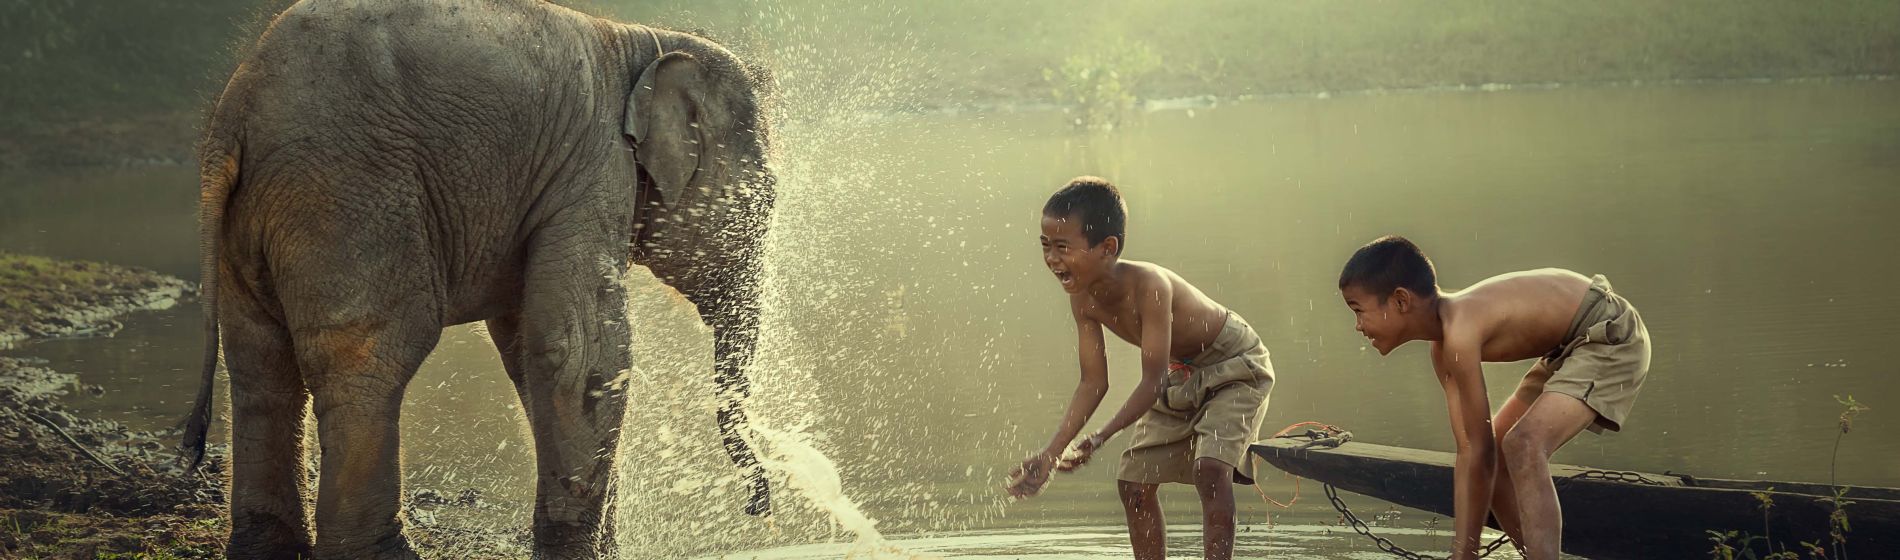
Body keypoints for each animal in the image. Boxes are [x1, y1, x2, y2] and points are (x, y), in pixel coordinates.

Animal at [176, 2, 771, 558]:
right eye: (759, 203)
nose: (758, 507)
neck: (646, 43)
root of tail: (235, 113)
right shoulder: (594, 168)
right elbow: (580, 352)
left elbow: (528, 348)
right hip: (346, 201)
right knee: (370, 360)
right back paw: (386, 553)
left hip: (254, 224)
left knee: (261, 369)